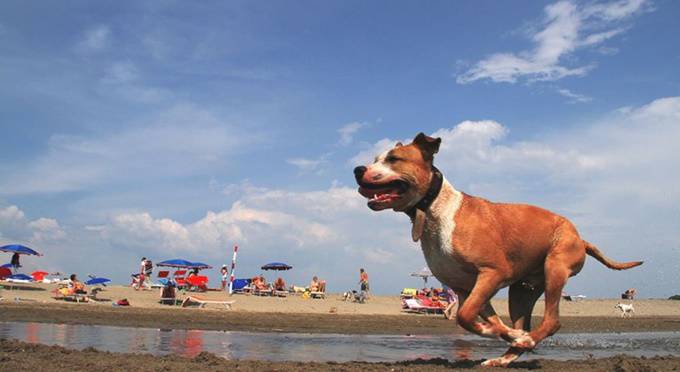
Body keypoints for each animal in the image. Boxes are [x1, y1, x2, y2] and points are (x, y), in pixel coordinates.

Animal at [356, 132, 644, 366]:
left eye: (394, 159)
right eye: (375, 158)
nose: (358, 169)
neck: (434, 208)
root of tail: (581, 239)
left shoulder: (492, 273)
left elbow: (465, 317)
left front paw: (510, 335)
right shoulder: (466, 288)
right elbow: (483, 320)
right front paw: (511, 334)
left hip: (555, 268)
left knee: (552, 320)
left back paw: (526, 341)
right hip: (522, 291)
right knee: (524, 320)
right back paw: (507, 353)